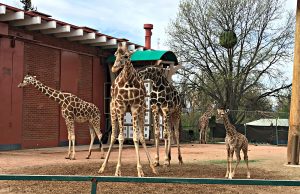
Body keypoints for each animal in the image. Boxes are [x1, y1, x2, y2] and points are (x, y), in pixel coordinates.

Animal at [99, 42, 157, 177]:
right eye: (115, 54)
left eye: (126, 56)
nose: (114, 68)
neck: (128, 81)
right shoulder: (120, 107)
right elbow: (120, 137)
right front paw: (118, 170)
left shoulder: (135, 108)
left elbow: (136, 137)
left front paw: (140, 170)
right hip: (113, 111)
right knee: (113, 136)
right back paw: (103, 167)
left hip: (141, 113)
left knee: (141, 136)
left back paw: (153, 167)